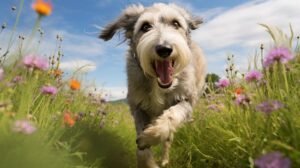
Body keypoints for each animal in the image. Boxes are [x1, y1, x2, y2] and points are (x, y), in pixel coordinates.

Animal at [99, 3, 207, 167]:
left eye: (176, 23)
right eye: (145, 26)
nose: (164, 49)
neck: (159, 85)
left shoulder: (187, 100)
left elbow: (170, 119)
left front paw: (151, 136)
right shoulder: (138, 107)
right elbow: (141, 150)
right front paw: (147, 160)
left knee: (168, 139)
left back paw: (165, 159)